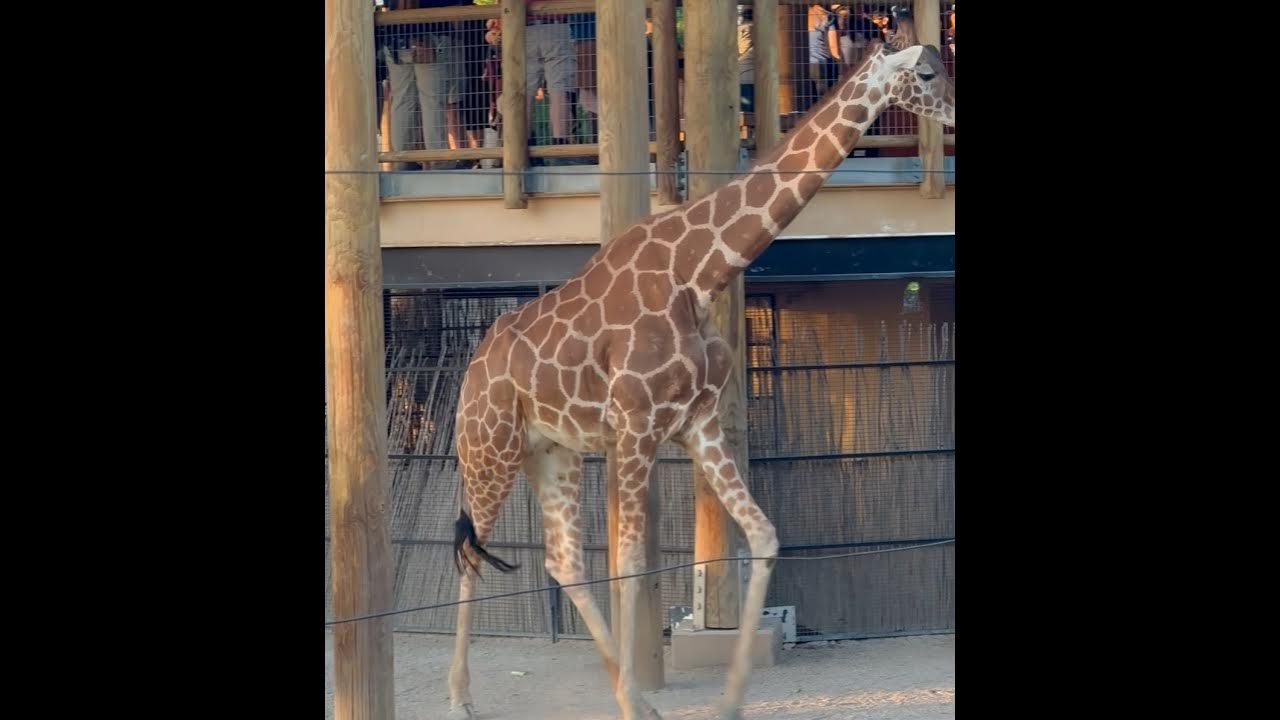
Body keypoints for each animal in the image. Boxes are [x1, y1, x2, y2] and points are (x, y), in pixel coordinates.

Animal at [446, 38, 954, 720]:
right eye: (926, 73)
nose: (954, 114)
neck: (700, 271)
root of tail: (470, 373)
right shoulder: (635, 426)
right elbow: (632, 563)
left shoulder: (698, 423)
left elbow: (764, 536)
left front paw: (731, 698)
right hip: (489, 450)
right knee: (469, 554)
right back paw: (461, 698)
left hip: (550, 453)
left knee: (561, 561)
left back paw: (633, 695)